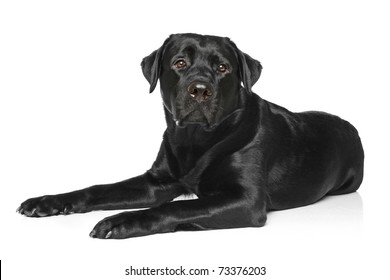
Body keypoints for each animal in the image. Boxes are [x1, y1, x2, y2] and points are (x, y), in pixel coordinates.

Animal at [16, 32, 364, 238]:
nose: (200, 89)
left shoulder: (246, 200)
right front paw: (47, 202)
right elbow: (98, 189)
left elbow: (176, 207)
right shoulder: (156, 182)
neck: (196, 141)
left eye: (223, 68)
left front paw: (120, 221)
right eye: (180, 62)